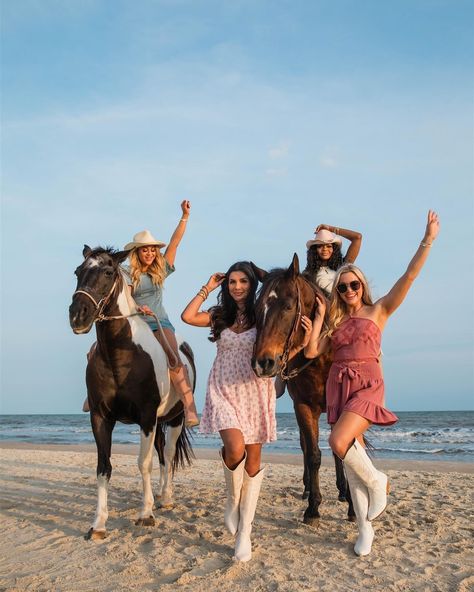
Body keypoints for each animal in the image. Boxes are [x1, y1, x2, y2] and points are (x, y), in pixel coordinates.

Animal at [69, 243, 194, 540]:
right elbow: (103, 467)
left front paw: (145, 514)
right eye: (78, 271)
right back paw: (159, 497)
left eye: (107, 272)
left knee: (167, 455)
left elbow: (143, 463)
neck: (121, 355)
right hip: (159, 423)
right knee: (162, 456)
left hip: (175, 419)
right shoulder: (100, 418)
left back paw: (165, 498)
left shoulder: (146, 417)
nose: (78, 315)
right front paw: (98, 524)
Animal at [252, 253, 352, 524]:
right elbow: (313, 454)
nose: (262, 363)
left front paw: (352, 505)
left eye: (288, 306)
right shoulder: (304, 408)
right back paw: (309, 489)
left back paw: (343, 491)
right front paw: (313, 508)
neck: (321, 356)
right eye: (257, 309)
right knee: (306, 447)